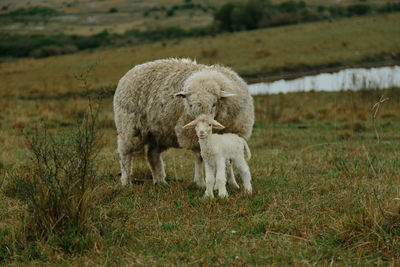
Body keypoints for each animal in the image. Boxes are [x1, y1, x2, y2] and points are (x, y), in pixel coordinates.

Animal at [114, 58, 255, 186]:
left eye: (214, 104)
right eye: (190, 105)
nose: (202, 125)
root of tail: (131, 71)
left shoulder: (234, 133)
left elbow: (229, 160)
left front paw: (232, 183)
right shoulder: (192, 136)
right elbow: (199, 157)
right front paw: (200, 183)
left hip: (158, 133)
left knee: (152, 154)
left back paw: (160, 181)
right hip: (130, 127)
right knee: (125, 153)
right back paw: (126, 181)